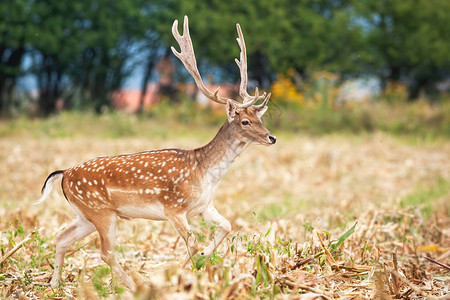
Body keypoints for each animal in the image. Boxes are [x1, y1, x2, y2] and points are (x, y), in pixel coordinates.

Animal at [38, 15, 276, 290]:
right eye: (245, 121)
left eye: (260, 118)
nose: (272, 137)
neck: (204, 173)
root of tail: (64, 173)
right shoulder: (174, 208)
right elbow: (192, 241)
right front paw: (186, 271)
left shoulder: (204, 206)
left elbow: (227, 225)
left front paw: (199, 259)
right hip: (100, 211)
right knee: (106, 252)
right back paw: (134, 287)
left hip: (85, 215)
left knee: (61, 238)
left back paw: (54, 285)